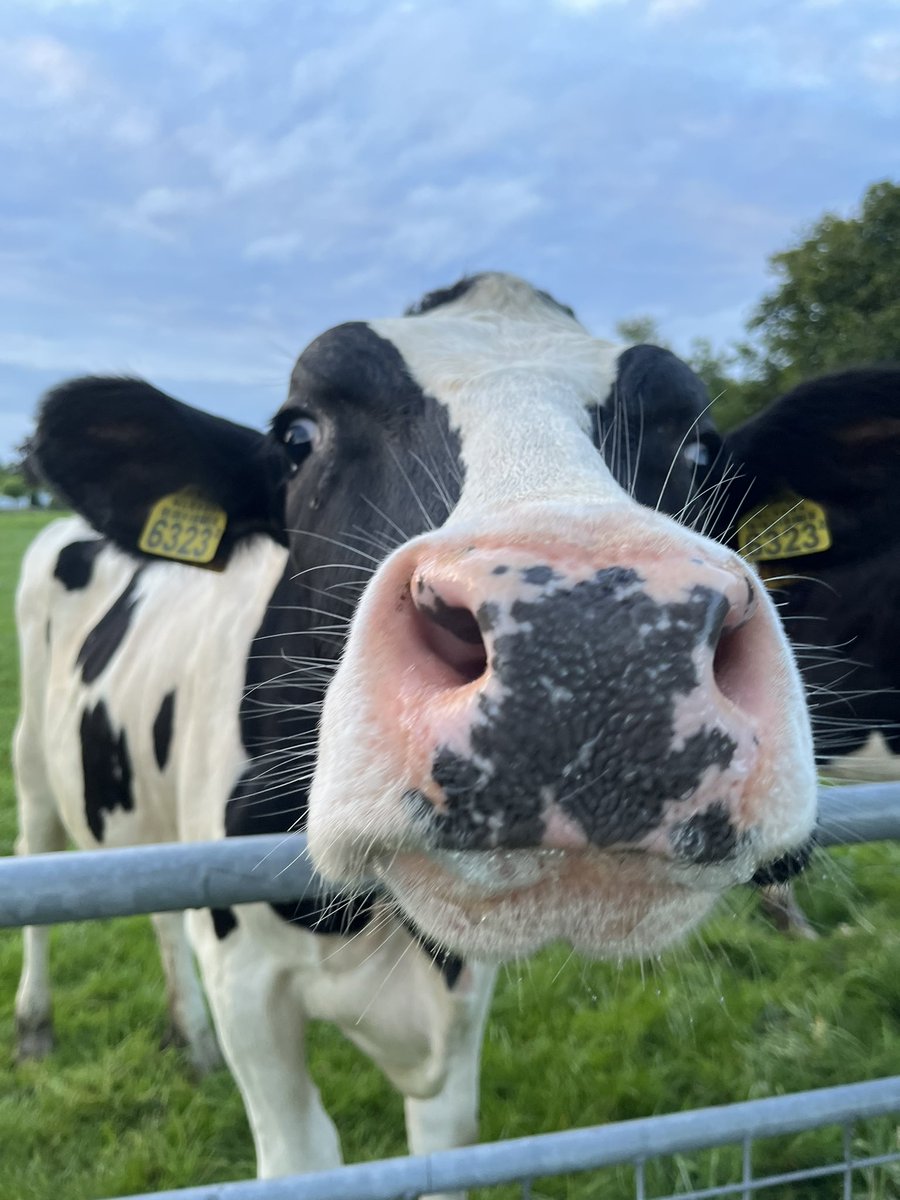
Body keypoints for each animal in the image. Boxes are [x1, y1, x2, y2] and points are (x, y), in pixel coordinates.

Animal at [12, 273, 816, 1192]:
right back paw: (35, 1027)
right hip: (33, 755)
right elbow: (303, 1157)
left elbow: (444, 1146)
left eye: (698, 449)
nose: (593, 644)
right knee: (41, 859)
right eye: (297, 434)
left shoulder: (463, 999)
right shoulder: (248, 981)